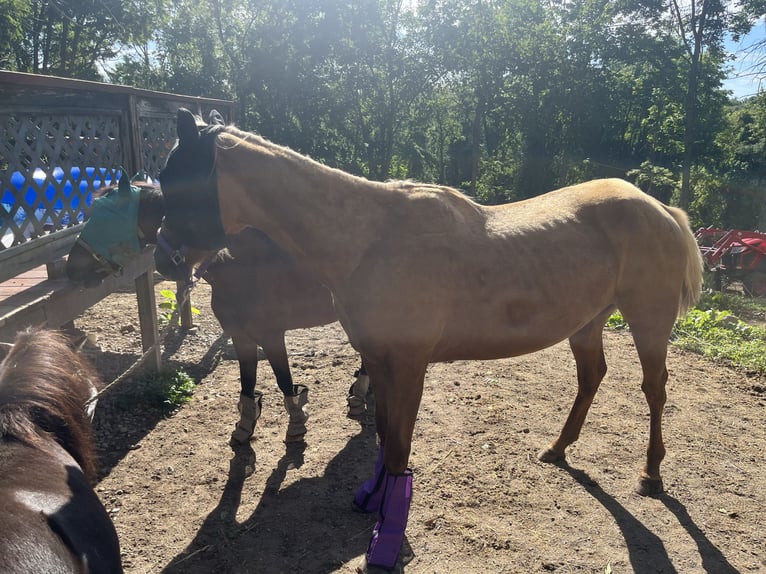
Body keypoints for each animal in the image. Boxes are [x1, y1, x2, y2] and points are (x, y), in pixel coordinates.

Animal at [65, 176, 370, 445]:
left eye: (106, 217)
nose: (72, 268)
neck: (243, 263)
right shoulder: (240, 336)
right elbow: (247, 384)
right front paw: (244, 429)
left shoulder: (271, 336)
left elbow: (284, 380)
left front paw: (296, 426)